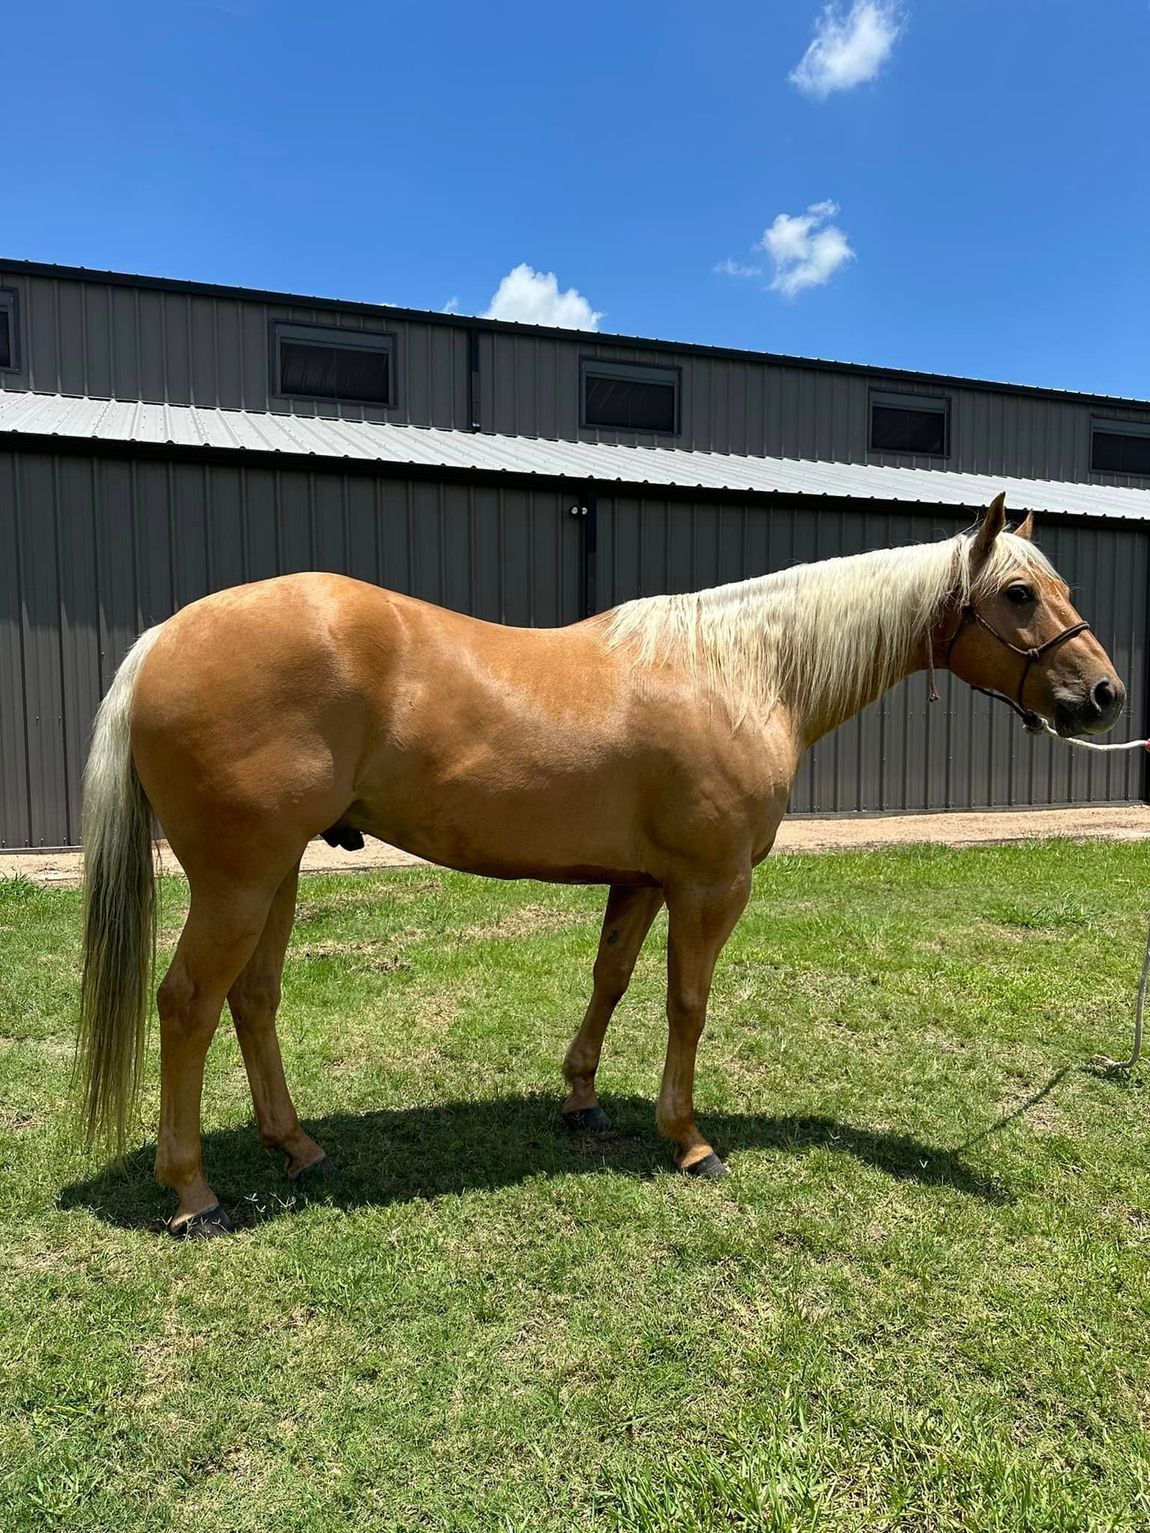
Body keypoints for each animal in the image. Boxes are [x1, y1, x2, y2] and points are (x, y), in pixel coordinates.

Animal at [75, 493, 1125, 1237]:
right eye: (1020, 594)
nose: (1105, 695)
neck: (741, 672)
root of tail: (163, 639)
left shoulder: (642, 880)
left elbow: (610, 979)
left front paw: (580, 1102)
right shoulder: (711, 883)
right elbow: (686, 1004)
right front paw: (690, 1140)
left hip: (276, 874)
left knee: (253, 1000)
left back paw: (298, 1147)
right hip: (238, 879)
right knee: (189, 1004)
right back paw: (194, 1194)